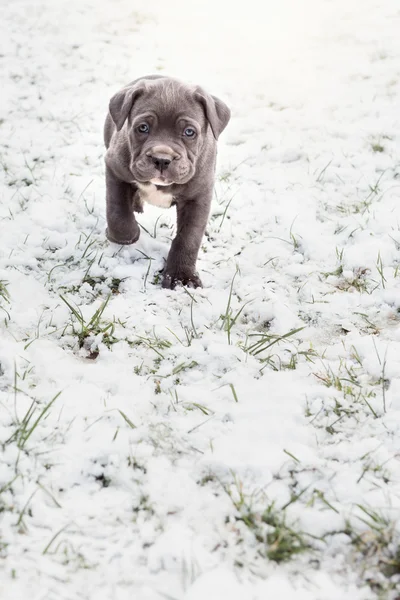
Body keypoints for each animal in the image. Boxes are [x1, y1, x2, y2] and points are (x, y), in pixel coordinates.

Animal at [103, 74, 231, 290]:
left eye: (189, 132)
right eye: (143, 128)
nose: (161, 159)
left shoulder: (198, 197)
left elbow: (188, 238)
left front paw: (182, 277)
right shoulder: (114, 169)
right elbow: (117, 211)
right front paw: (126, 236)